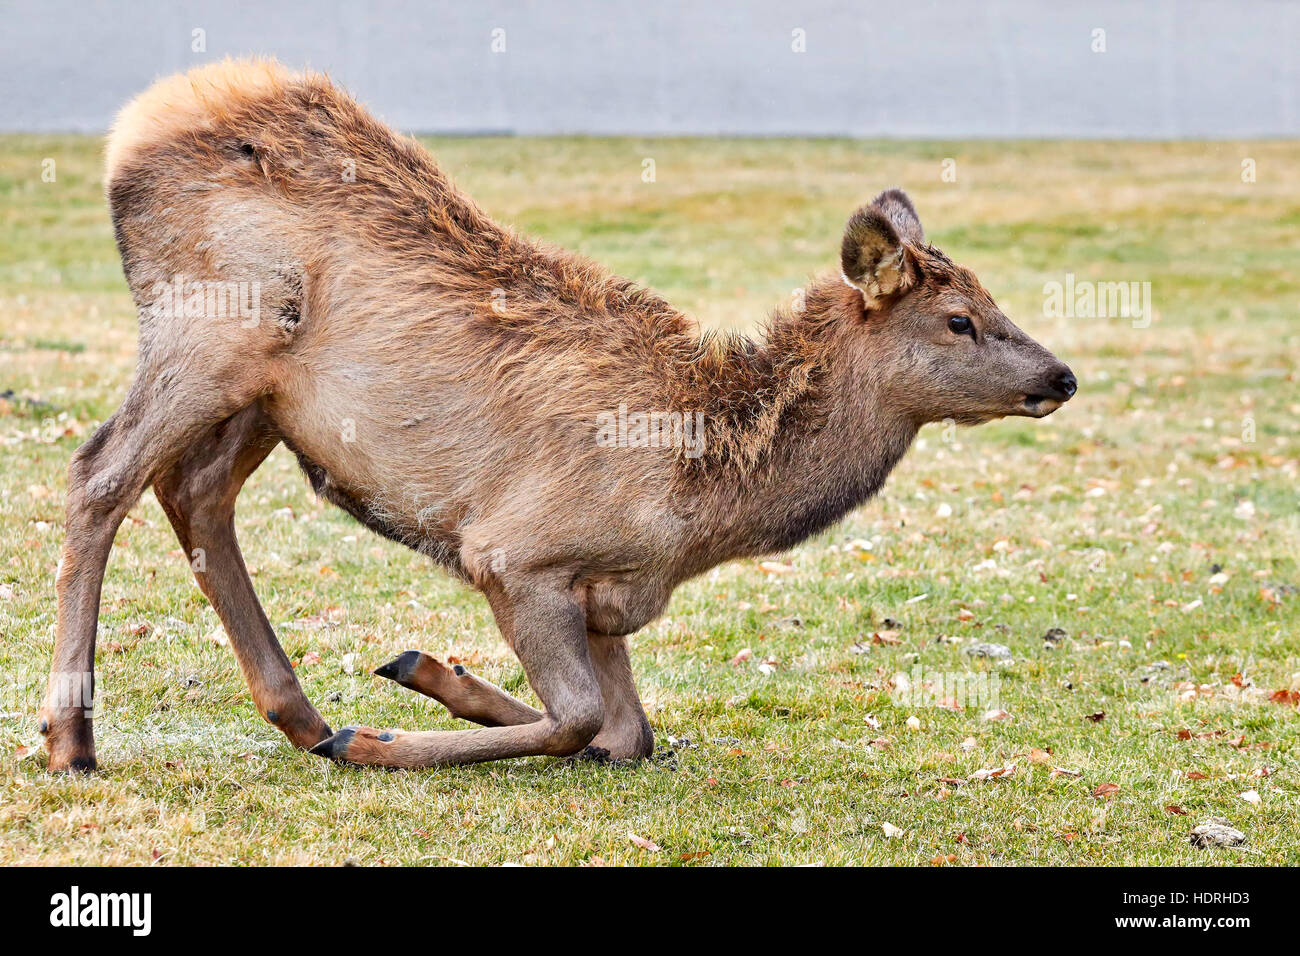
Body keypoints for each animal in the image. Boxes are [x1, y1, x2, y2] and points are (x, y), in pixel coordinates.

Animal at [40, 59, 1076, 770]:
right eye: (959, 318)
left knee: (194, 490)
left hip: (265, 392)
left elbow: (629, 731)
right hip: (211, 329)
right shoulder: (517, 550)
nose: (1061, 375)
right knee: (100, 473)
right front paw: (382, 740)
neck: (703, 505)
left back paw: (301, 716)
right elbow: (582, 719)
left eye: (990, 298)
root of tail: (142, 118)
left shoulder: (610, 601)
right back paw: (72, 738)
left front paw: (427, 677)